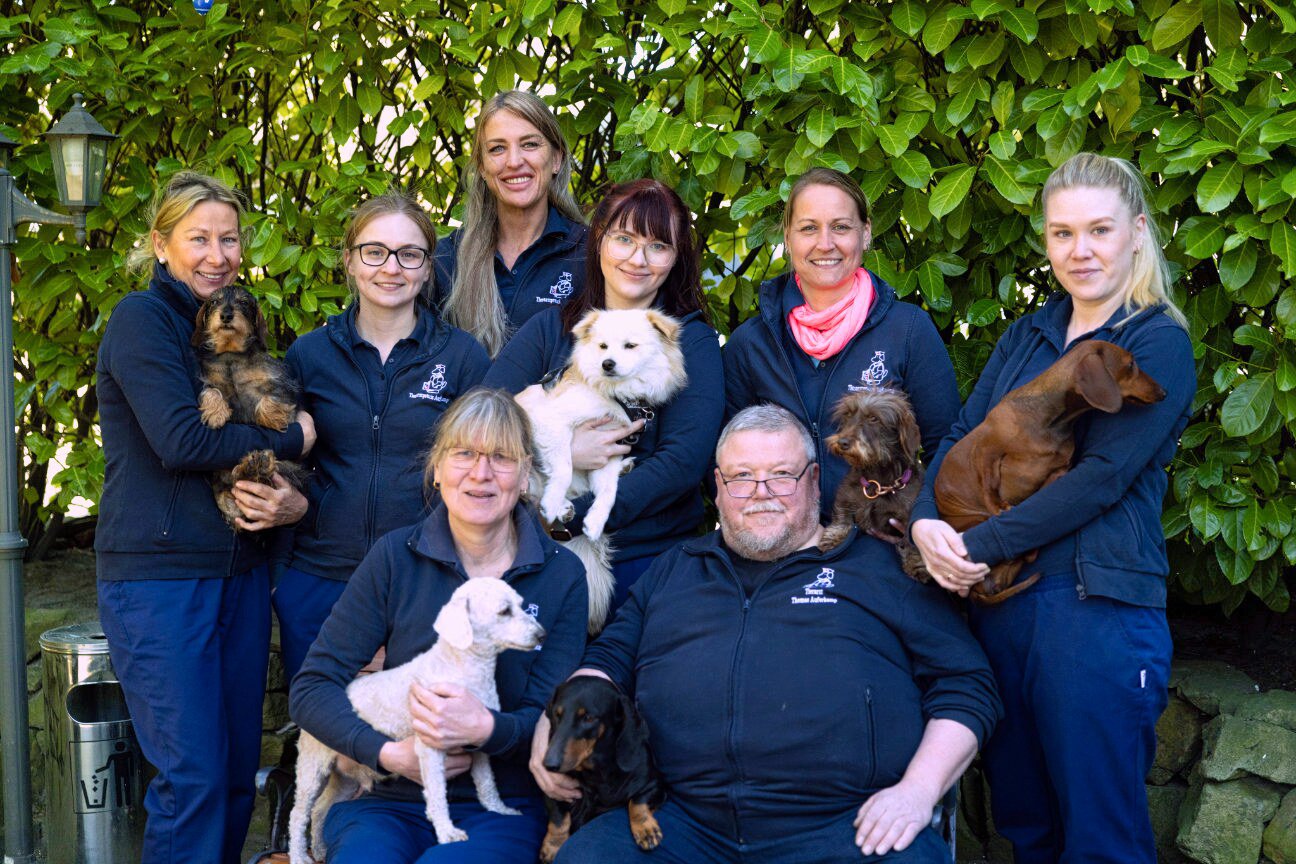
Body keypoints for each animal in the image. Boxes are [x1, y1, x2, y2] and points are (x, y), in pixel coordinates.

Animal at [191, 284, 306, 528]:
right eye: (214, 302)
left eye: (243, 302)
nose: (226, 315)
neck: (231, 355)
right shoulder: (208, 380)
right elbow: (211, 391)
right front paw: (215, 414)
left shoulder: (283, 384)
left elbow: (269, 400)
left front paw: (274, 420)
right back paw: (250, 467)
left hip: (288, 468)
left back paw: (257, 465)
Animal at [515, 308, 687, 633]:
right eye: (603, 347)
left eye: (630, 346)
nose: (607, 364)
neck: (617, 396)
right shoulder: (551, 423)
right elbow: (564, 466)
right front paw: (554, 501)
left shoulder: (607, 452)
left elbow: (608, 494)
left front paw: (594, 521)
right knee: (533, 490)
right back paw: (560, 506)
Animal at [538, 676, 665, 862]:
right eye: (557, 714)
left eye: (588, 718)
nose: (549, 764)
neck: (597, 774)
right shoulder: (552, 790)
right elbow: (558, 818)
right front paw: (553, 845)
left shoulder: (654, 785)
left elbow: (637, 800)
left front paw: (645, 829)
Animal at [818, 390, 925, 575]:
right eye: (848, 414)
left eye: (874, 418)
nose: (842, 442)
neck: (879, 481)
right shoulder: (845, 496)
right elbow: (842, 519)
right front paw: (833, 538)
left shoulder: (908, 515)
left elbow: (911, 540)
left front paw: (915, 563)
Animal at [933, 340, 1166, 603]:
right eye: (1131, 363)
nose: (1164, 393)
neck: (1053, 420)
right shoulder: (985, 448)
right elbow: (989, 481)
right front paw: (999, 505)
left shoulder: (1059, 468)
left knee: (1027, 555)